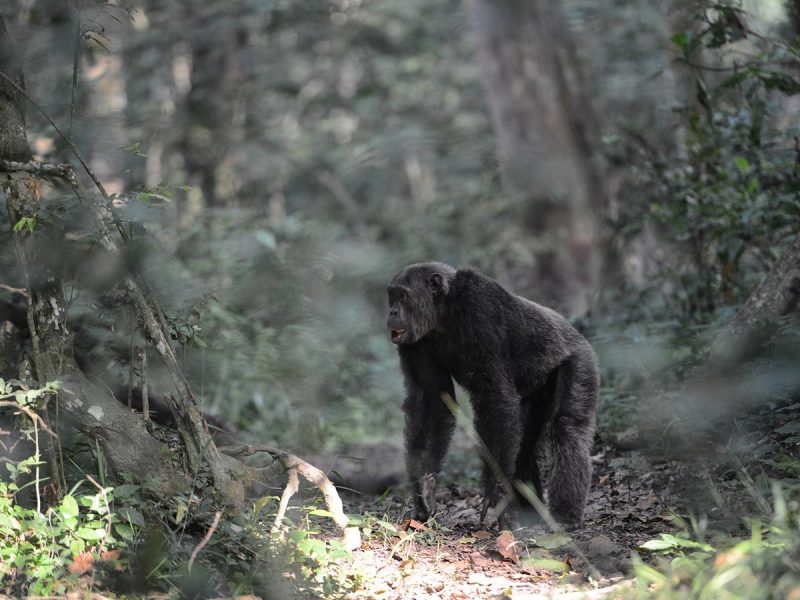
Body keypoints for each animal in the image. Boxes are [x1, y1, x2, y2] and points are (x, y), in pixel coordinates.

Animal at [387, 262, 598, 528]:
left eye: (403, 296)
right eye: (391, 296)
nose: (392, 311)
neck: (443, 312)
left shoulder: (480, 310)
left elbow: (495, 397)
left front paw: (494, 492)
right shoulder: (415, 345)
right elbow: (431, 401)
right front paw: (424, 490)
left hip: (580, 361)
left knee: (567, 426)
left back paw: (564, 516)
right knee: (523, 445)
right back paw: (530, 514)